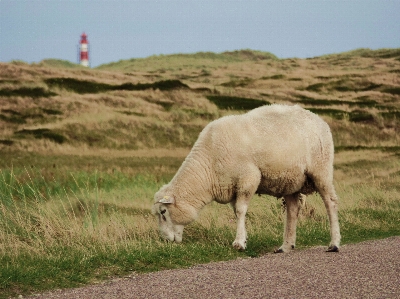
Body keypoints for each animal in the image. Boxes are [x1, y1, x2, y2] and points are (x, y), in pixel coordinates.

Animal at [153, 105, 340, 253]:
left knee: (330, 202)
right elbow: (236, 212)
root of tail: (318, 119)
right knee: (293, 210)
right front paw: (243, 238)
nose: (166, 240)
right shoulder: (231, 186)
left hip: (321, 169)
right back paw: (286, 246)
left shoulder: (248, 178)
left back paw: (334, 243)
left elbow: (241, 210)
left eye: (163, 212)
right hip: (290, 180)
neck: (208, 165)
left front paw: (239, 243)